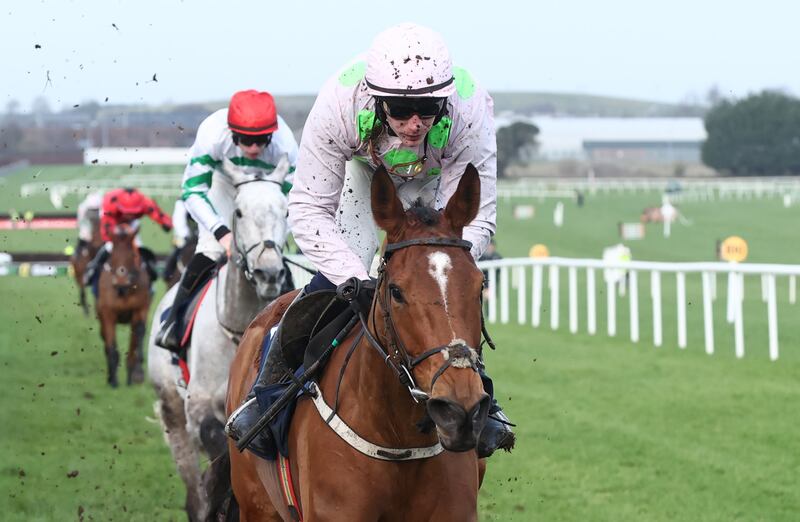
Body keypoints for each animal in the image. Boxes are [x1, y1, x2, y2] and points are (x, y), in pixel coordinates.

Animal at [96, 223, 152, 386]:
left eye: (133, 255)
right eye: (113, 255)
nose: (121, 281)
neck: (124, 291)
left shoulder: (140, 309)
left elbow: (139, 332)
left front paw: (137, 372)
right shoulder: (108, 313)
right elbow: (111, 347)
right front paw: (113, 381)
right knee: (105, 342)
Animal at [146, 155, 290, 520]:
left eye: (285, 210)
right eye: (238, 211)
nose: (269, 272)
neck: (239, 331)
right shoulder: (199, 409)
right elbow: (218, 454)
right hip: (172, 413)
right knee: (192, 491)